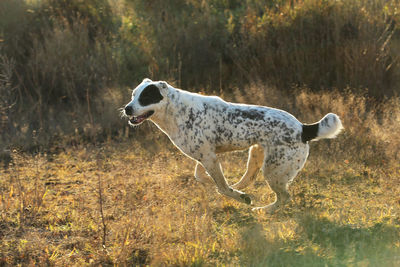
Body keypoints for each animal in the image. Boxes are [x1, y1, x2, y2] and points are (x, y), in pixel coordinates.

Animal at [123, 78, 342, 213]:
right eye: (133, 95)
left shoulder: (209, 157)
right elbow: (203, 177)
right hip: (256, 154)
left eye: (145, 97)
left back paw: (263, 210)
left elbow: (220, 186)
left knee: (284, 197)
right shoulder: (206, 156)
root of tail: (303, 128)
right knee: (249, 179)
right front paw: (227, 188)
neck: (175, 111)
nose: (127, 108)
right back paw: (241, 189)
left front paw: (240, 197)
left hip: (273, 170)